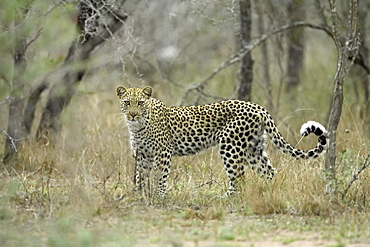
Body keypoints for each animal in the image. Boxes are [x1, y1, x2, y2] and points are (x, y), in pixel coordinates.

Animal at [115, 85, 326, 197]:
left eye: (140, 103)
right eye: (127, 103)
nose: (132, 114)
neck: (137, 126)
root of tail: (258, 107)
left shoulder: (162, 153)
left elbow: (160, 176)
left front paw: (159, 196)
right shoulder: (142, 154)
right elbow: (140, 176)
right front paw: (138, 194)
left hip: (230, 146)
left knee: (239, 177)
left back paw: (226, 197)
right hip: (254, 149)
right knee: (269, 172)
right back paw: (267, 192)